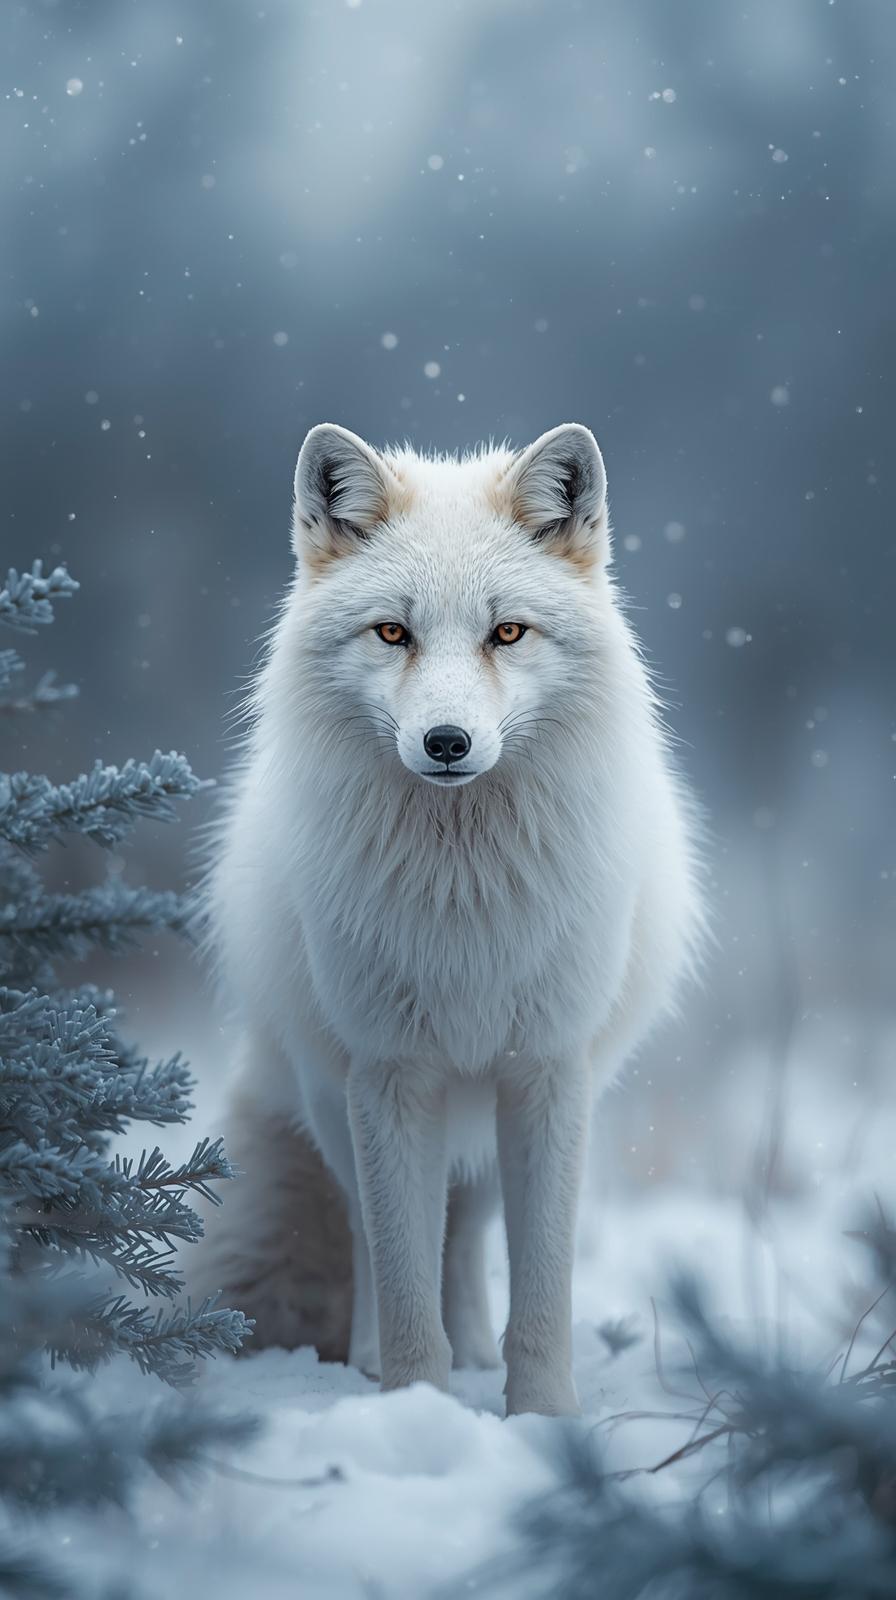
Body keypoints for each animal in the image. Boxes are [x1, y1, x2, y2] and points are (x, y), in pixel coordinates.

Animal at [191, 421, 703, 1417]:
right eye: (394, 632)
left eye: (507, 632)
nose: (447, 744)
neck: (464, 894)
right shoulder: (389, 1073)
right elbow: (400, 1275)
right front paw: (412, 1404)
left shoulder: (547, 1072)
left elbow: (541, 1284)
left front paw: (541, 1416)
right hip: (333, 1099)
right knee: (377, 1233)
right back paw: (374, 1363)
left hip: (492, 1113)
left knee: (464, 1236)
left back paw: (470, 1353)